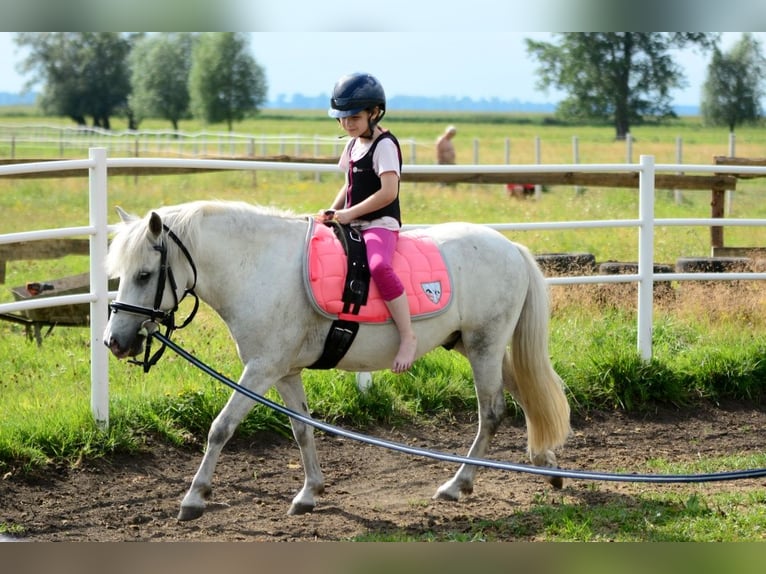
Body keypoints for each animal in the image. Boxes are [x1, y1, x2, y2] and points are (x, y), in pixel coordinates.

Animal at [103, 202, 568, 520]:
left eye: (144, 274)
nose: (114, 341)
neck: (257, 267)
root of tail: (510, 247)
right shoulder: (285, 372)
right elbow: (302, 429)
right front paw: (310, 492)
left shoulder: (261, 370)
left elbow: (221, 428)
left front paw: (194, 497)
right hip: (471, 346)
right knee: (524, 395)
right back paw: (548, 467)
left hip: (483, 345)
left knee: (491, 412)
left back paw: (459, 484)